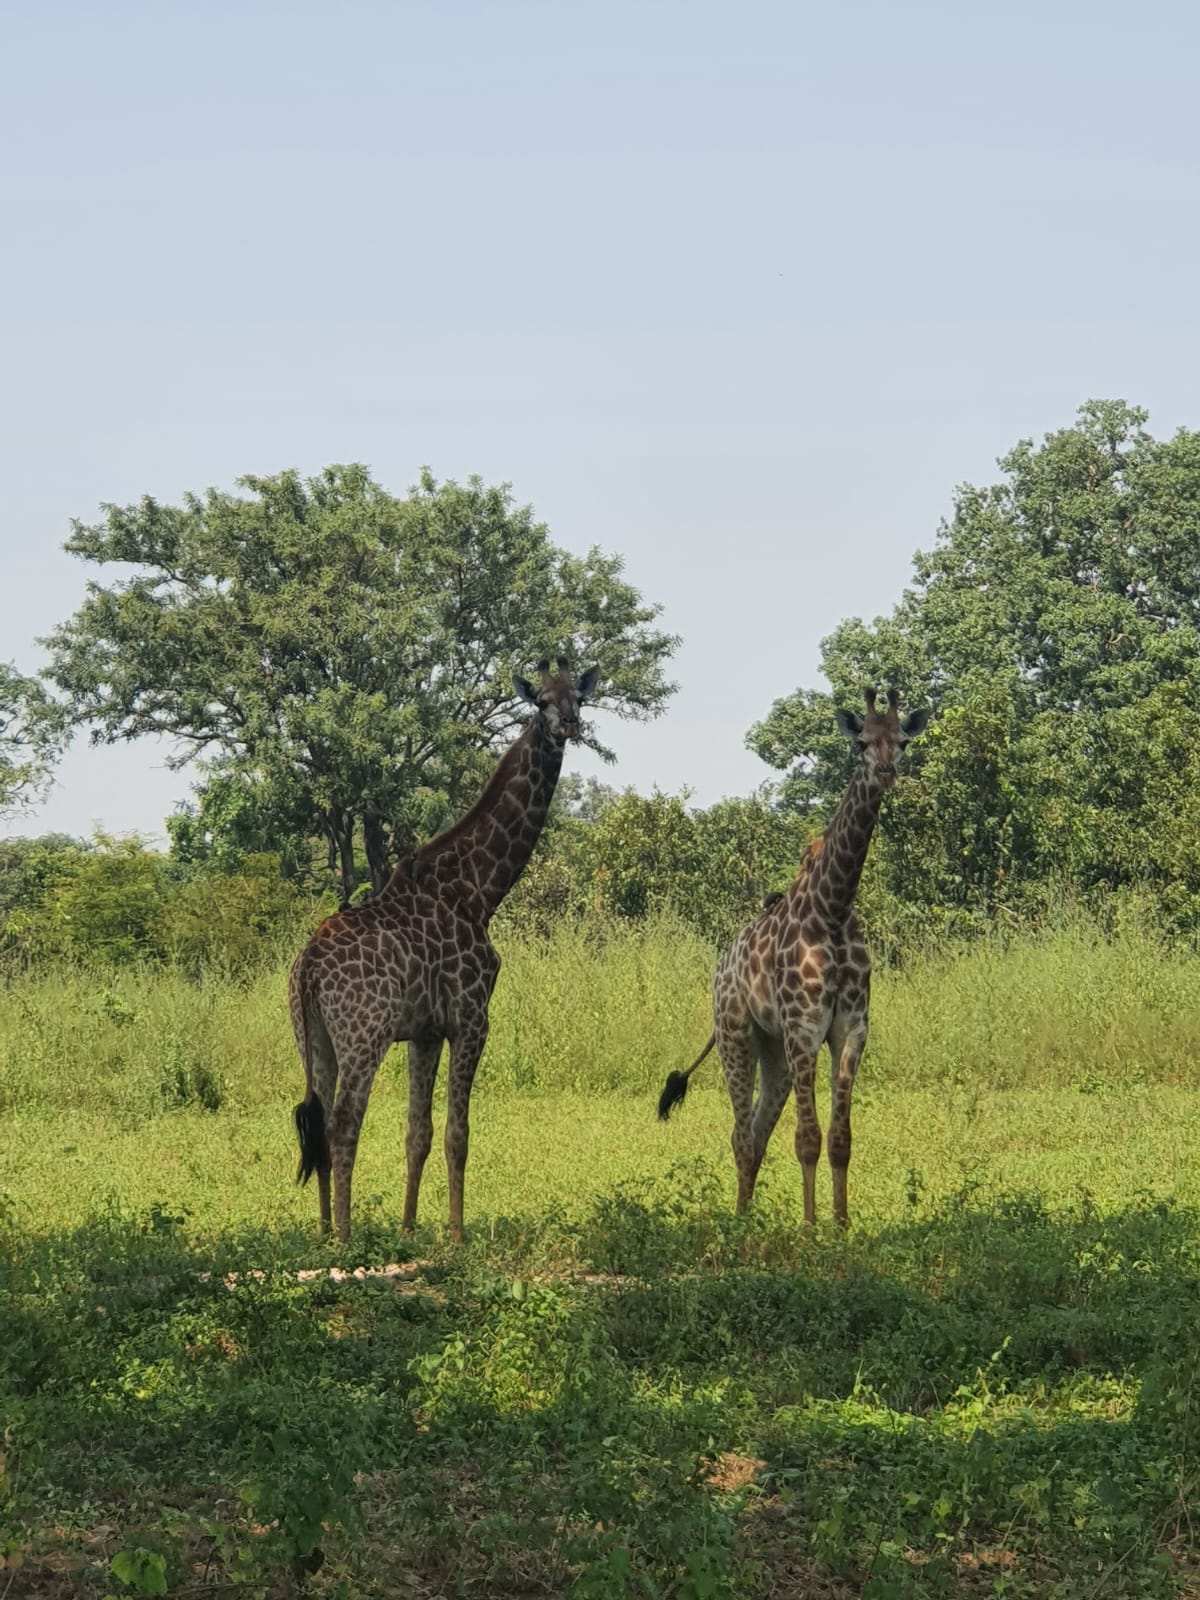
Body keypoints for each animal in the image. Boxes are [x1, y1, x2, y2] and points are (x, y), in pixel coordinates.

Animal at [291, 656, 601, 1241]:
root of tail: (308, 968)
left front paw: (410, 1229)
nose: (569, 726)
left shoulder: (425, 1031)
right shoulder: (471, 1018)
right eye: (540, 701)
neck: (481, 889)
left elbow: (419, 1132)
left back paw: (321, 1231)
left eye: (579, 696)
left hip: (313, 1036)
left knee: (316, 1120)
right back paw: (344, 1237)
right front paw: (456, 1236)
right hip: (363, 1034)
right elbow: (459, 1133)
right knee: (343, 1122)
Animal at [659, 688, 928, 1222]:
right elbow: (807, 1138)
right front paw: (809, 1228)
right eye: (860, 743)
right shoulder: (804, 1027)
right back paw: (740, 1224)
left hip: (772, 1051)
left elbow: (841, 1138)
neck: (834, 907)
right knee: (741, 1133)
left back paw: (747, 1218)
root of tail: (722, 967)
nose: (887, 772)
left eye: (903, 741)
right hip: (735, 1035)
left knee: (757, 1131)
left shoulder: (851, 1027)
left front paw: (841, 1225)